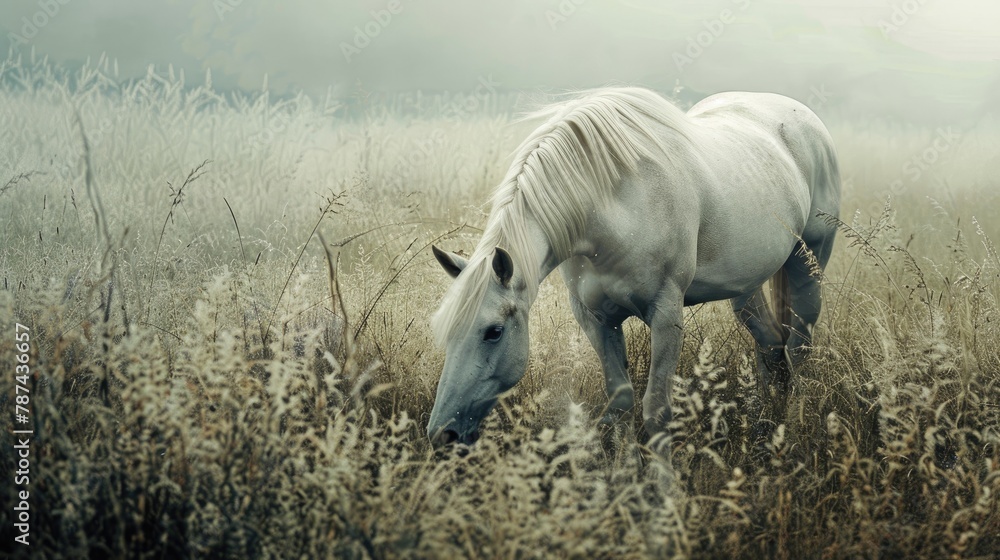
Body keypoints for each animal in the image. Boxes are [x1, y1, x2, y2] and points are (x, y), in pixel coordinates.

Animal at [426, 88, 840, 456]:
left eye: (493, 332)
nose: (442, 434)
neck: (611, 206)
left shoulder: (666, 315)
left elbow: (656, 411)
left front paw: (664, 493)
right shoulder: (595, 318)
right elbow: (621, 402)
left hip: (809, 262)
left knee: (798, 348)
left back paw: (793, 431)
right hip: (747, 285)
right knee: (770, 346)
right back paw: (764, 427)